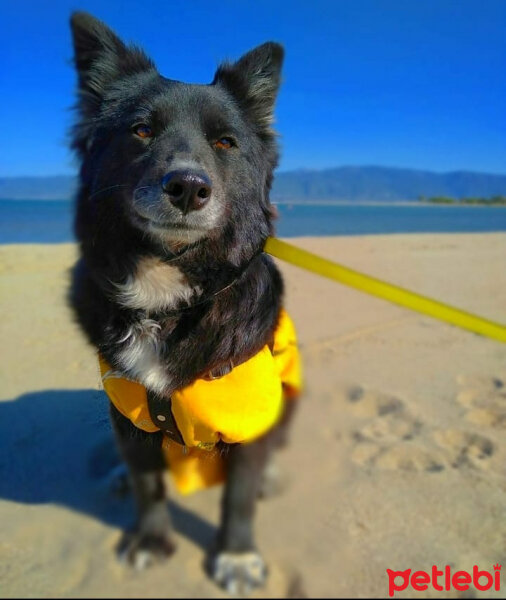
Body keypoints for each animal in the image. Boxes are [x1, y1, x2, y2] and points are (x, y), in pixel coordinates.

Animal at [67, 11, 300, 592]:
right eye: (141, 130)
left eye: (225, 142)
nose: (189, 189)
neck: (169, 299)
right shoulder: (129, 407)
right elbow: (148, 483)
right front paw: (151, 541)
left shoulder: (248, 414)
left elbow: (239, 495)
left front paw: (236, 556)